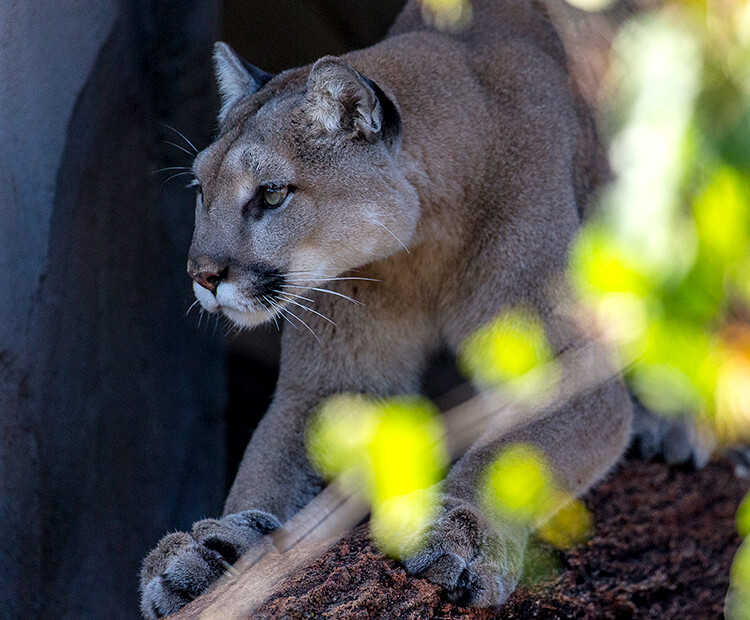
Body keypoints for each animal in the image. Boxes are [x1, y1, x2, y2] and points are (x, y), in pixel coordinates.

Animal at [141, 0, 636, 616]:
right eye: (201, 191)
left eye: (272, 193)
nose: (202, 275)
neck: (423, 238)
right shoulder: (330, 387)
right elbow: (271, 468)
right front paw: (211, 549)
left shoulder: (566, 364)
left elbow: (512, 452)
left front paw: (460, 531)